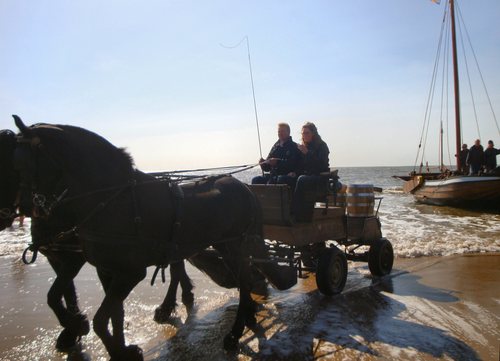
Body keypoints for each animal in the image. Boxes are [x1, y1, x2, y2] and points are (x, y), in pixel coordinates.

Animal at [12, 116, 296, 358]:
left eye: (21, 162)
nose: (27, 209)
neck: (113, 197)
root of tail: (245, 188)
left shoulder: (130, 272)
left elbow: (101, 319)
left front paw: (115, 348)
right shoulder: (107, 269)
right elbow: (110, 313)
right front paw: (117, 346)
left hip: (235, 245)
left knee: (245, 281)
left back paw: (234, 333)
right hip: (226, 247)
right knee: (244, 279)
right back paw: (244, 318)